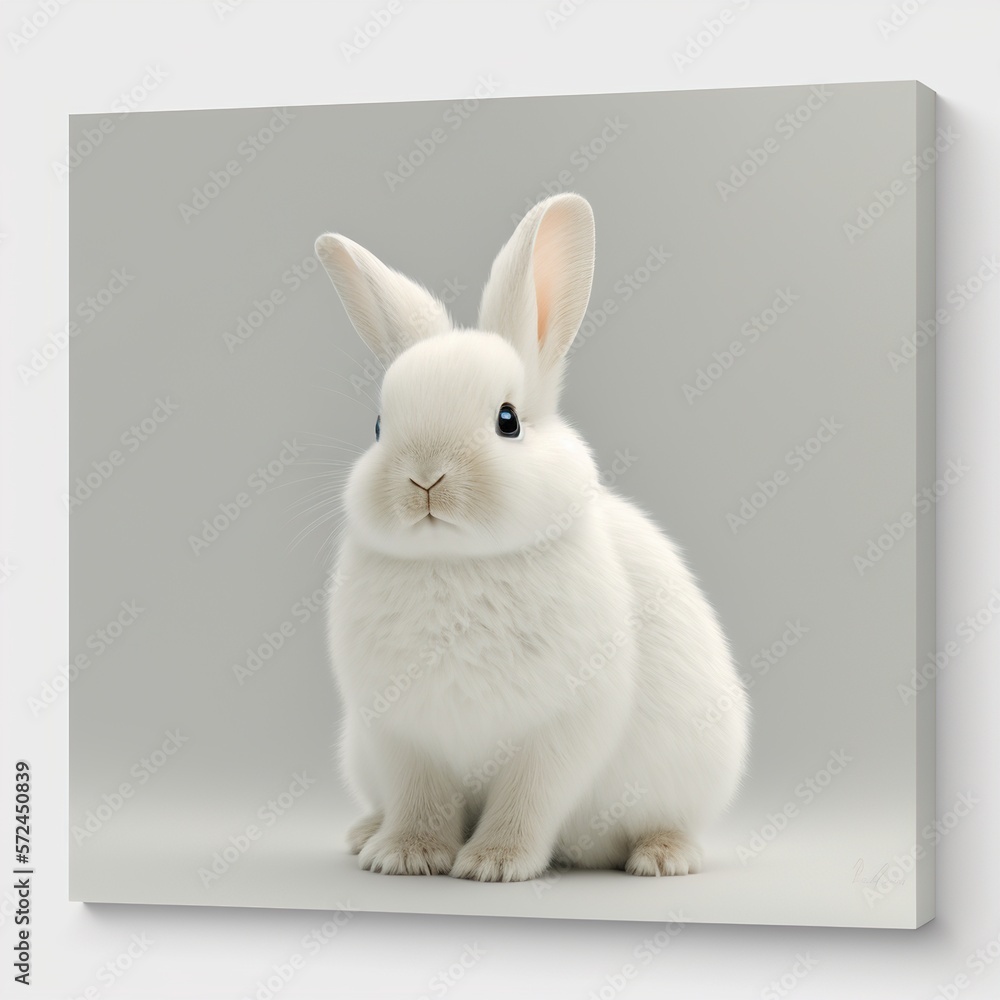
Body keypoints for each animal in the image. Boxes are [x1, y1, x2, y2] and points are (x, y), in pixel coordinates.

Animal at [316, 191, 748, 880]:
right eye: (379, 427)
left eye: (508, 420)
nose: (424, 478)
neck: (457, 562)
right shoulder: (402, 735)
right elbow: (420, 801)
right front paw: (405, 856)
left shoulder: (562, 729)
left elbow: (528, 799)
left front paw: (493, 864)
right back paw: (363, 834)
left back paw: (662, 858)